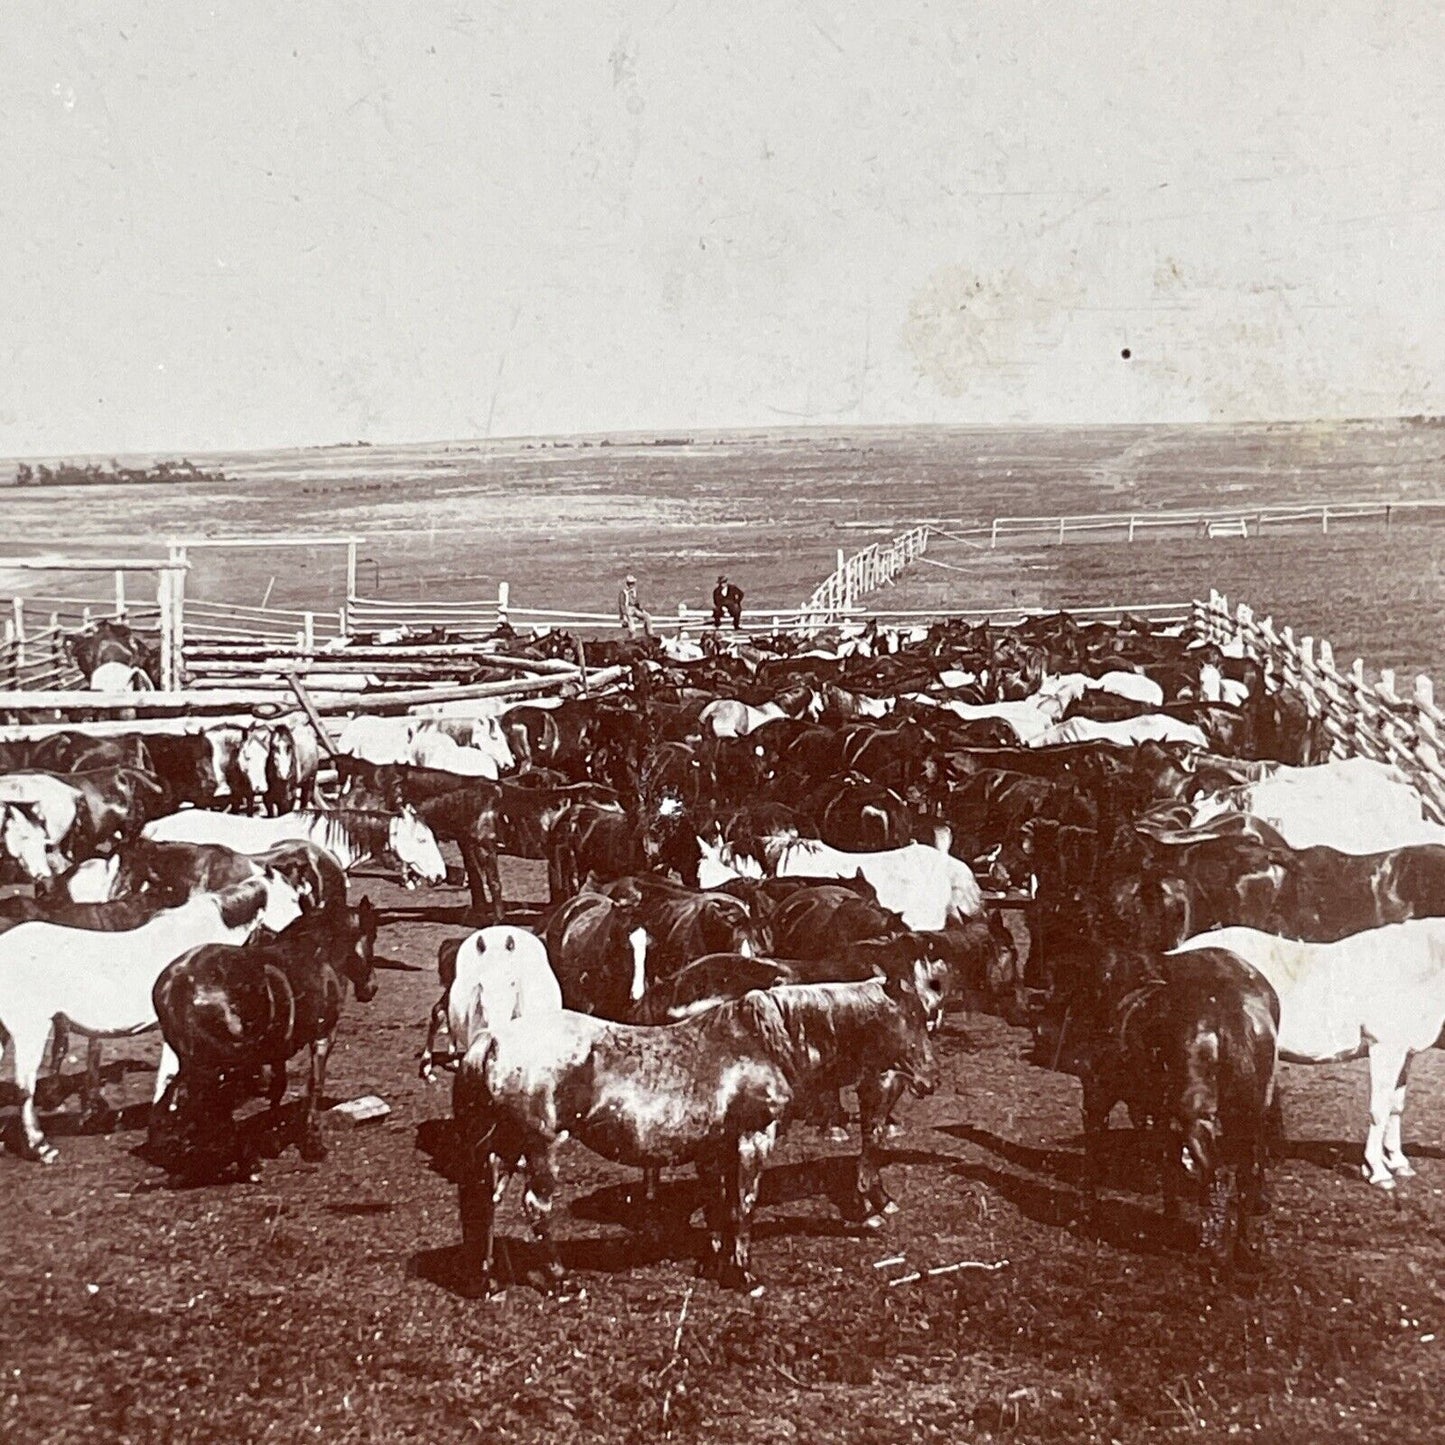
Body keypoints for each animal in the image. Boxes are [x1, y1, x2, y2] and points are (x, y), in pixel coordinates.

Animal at [450, 976, 936, 1294]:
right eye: (910, 1018)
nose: (929, 1080)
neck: (764, 1043)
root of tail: (491, 1041)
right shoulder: (753, 1138)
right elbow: (743, 1203)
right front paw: (744, 1275)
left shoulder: (719, 1146)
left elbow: (721, 1205)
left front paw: (718, 1262)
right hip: (539, 1148)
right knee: (537, 1207)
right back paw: (560, 1280)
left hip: (506, 1148)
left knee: (487, 1202)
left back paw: (489, 1279)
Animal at [1179, 919, 1445, 1190]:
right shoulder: (1385, 1049)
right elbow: (1379, 1110)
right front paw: (1378, 1172)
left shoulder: (1403, 1054)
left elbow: (1395, 1107)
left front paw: (1398, 1162)